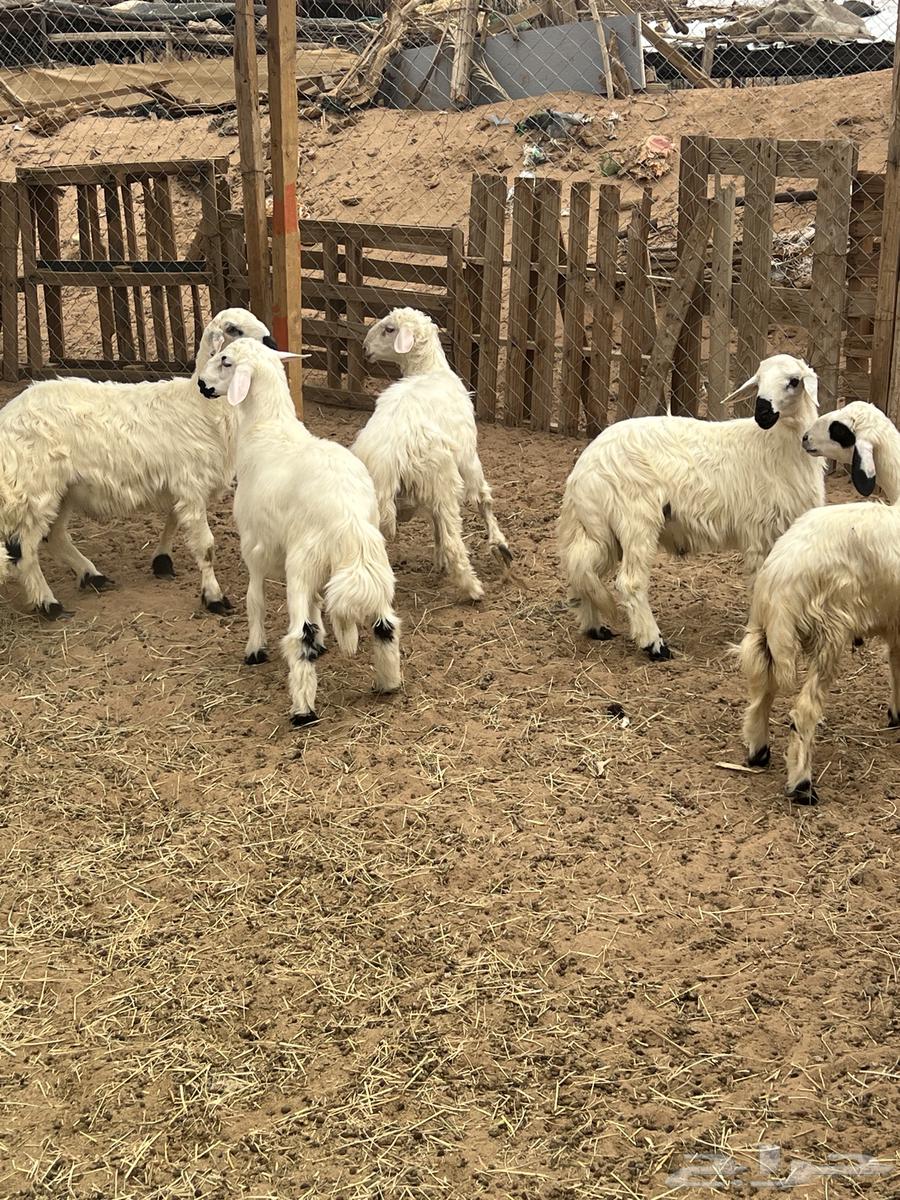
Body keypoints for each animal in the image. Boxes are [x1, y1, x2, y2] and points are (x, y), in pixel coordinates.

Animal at [0, 307, 275, 619]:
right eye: (233, 329)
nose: (271, 343)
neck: (200, 406)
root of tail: (8, 415)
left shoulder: (180, 484)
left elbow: (173, 519)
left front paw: (162, 561)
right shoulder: (190, 484)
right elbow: (206, 546)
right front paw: (214, 597)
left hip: (63, 489)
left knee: (55, 537)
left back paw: (91, 576)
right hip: (34, 490)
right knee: (24, 550)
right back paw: (49, 603)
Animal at [197, 337, 402, 726]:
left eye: (226, 360)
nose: (202, 384)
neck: (266, 428)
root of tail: (347, 516)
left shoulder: (253, 546)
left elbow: (255, 600)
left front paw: (254, 649)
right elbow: (319, 603)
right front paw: (323, 640)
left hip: (302, 563)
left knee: (298, 636)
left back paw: (303, 710)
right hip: (372, 561)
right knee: (385, 625)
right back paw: (389, 684)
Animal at [351, 306, 511, 602]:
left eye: (388, 329)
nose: (365, 349)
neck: (429, 371)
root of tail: (387, 459)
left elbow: (436, 524)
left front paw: (439, 563)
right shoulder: (468, 456)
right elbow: (483, 499)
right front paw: (499, 545)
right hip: (442, 478)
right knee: (452, 541)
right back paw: (473, 589)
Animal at [558, 354, 825, 661]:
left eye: (793, 381)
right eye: (758, 382)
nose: (763, 414)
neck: (774, 446)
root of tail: (583, 470)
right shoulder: (759, 531)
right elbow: (762, 584)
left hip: (601, 528)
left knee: (581, 566)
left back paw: (595, 628)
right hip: (636, 518)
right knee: (629, 582)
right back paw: (654, 645)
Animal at [739, 400, 900, 805]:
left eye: (839, 429)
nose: (805, 438)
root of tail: (779, 583)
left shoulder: (895, 622)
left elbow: (895, 667)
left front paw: (897, 715)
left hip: (764, 638)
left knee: (761, 693)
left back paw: (758, 752)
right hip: (829, 633)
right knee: (804, 710)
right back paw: (802, 785)